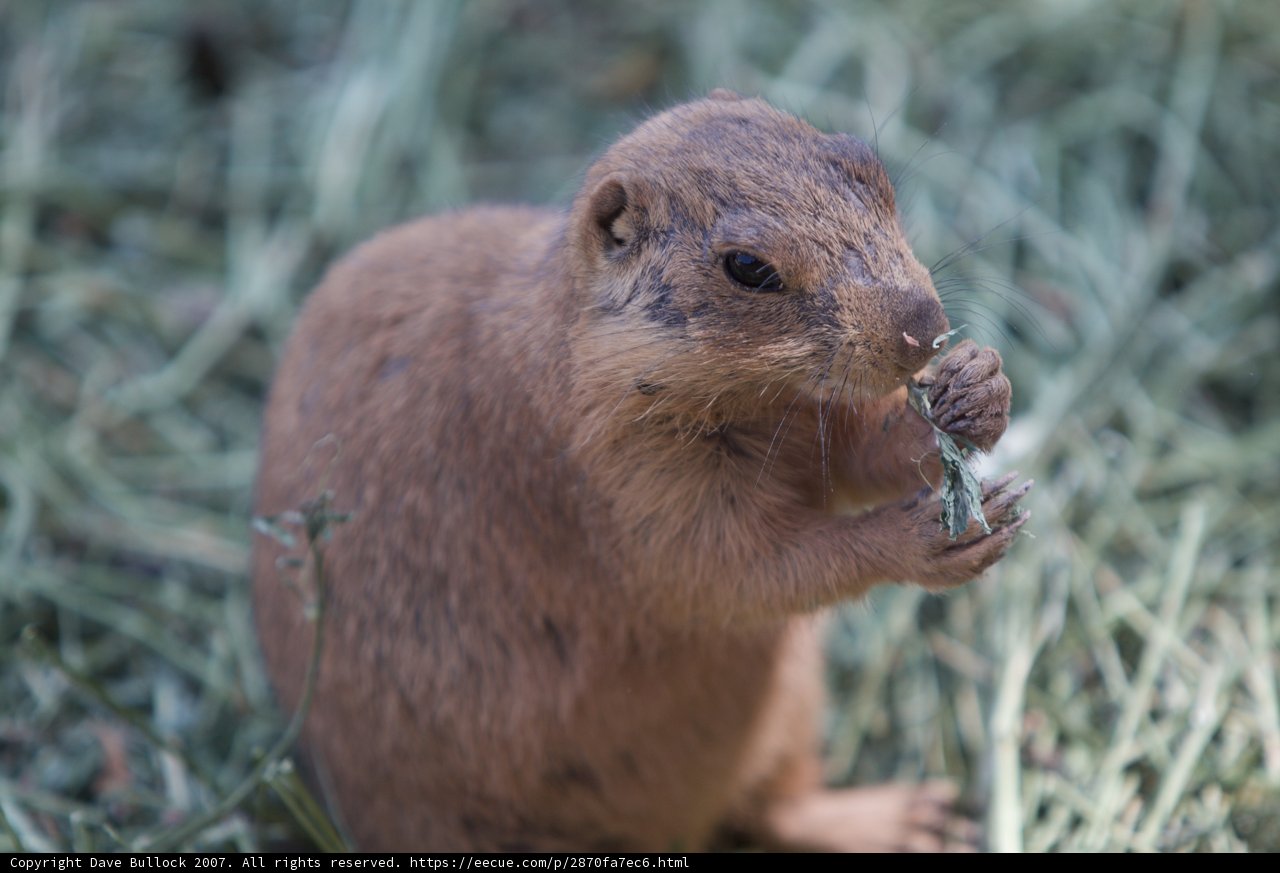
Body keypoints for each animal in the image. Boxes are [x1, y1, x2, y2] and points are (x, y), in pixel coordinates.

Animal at [251, 90, 1029, 851]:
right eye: (747, 267)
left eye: (869, 165)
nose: (924, 327)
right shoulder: (619, 474)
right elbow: (727, 568)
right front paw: (932, 536)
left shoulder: (805, 416)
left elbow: (850, 458)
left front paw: (975, 387)